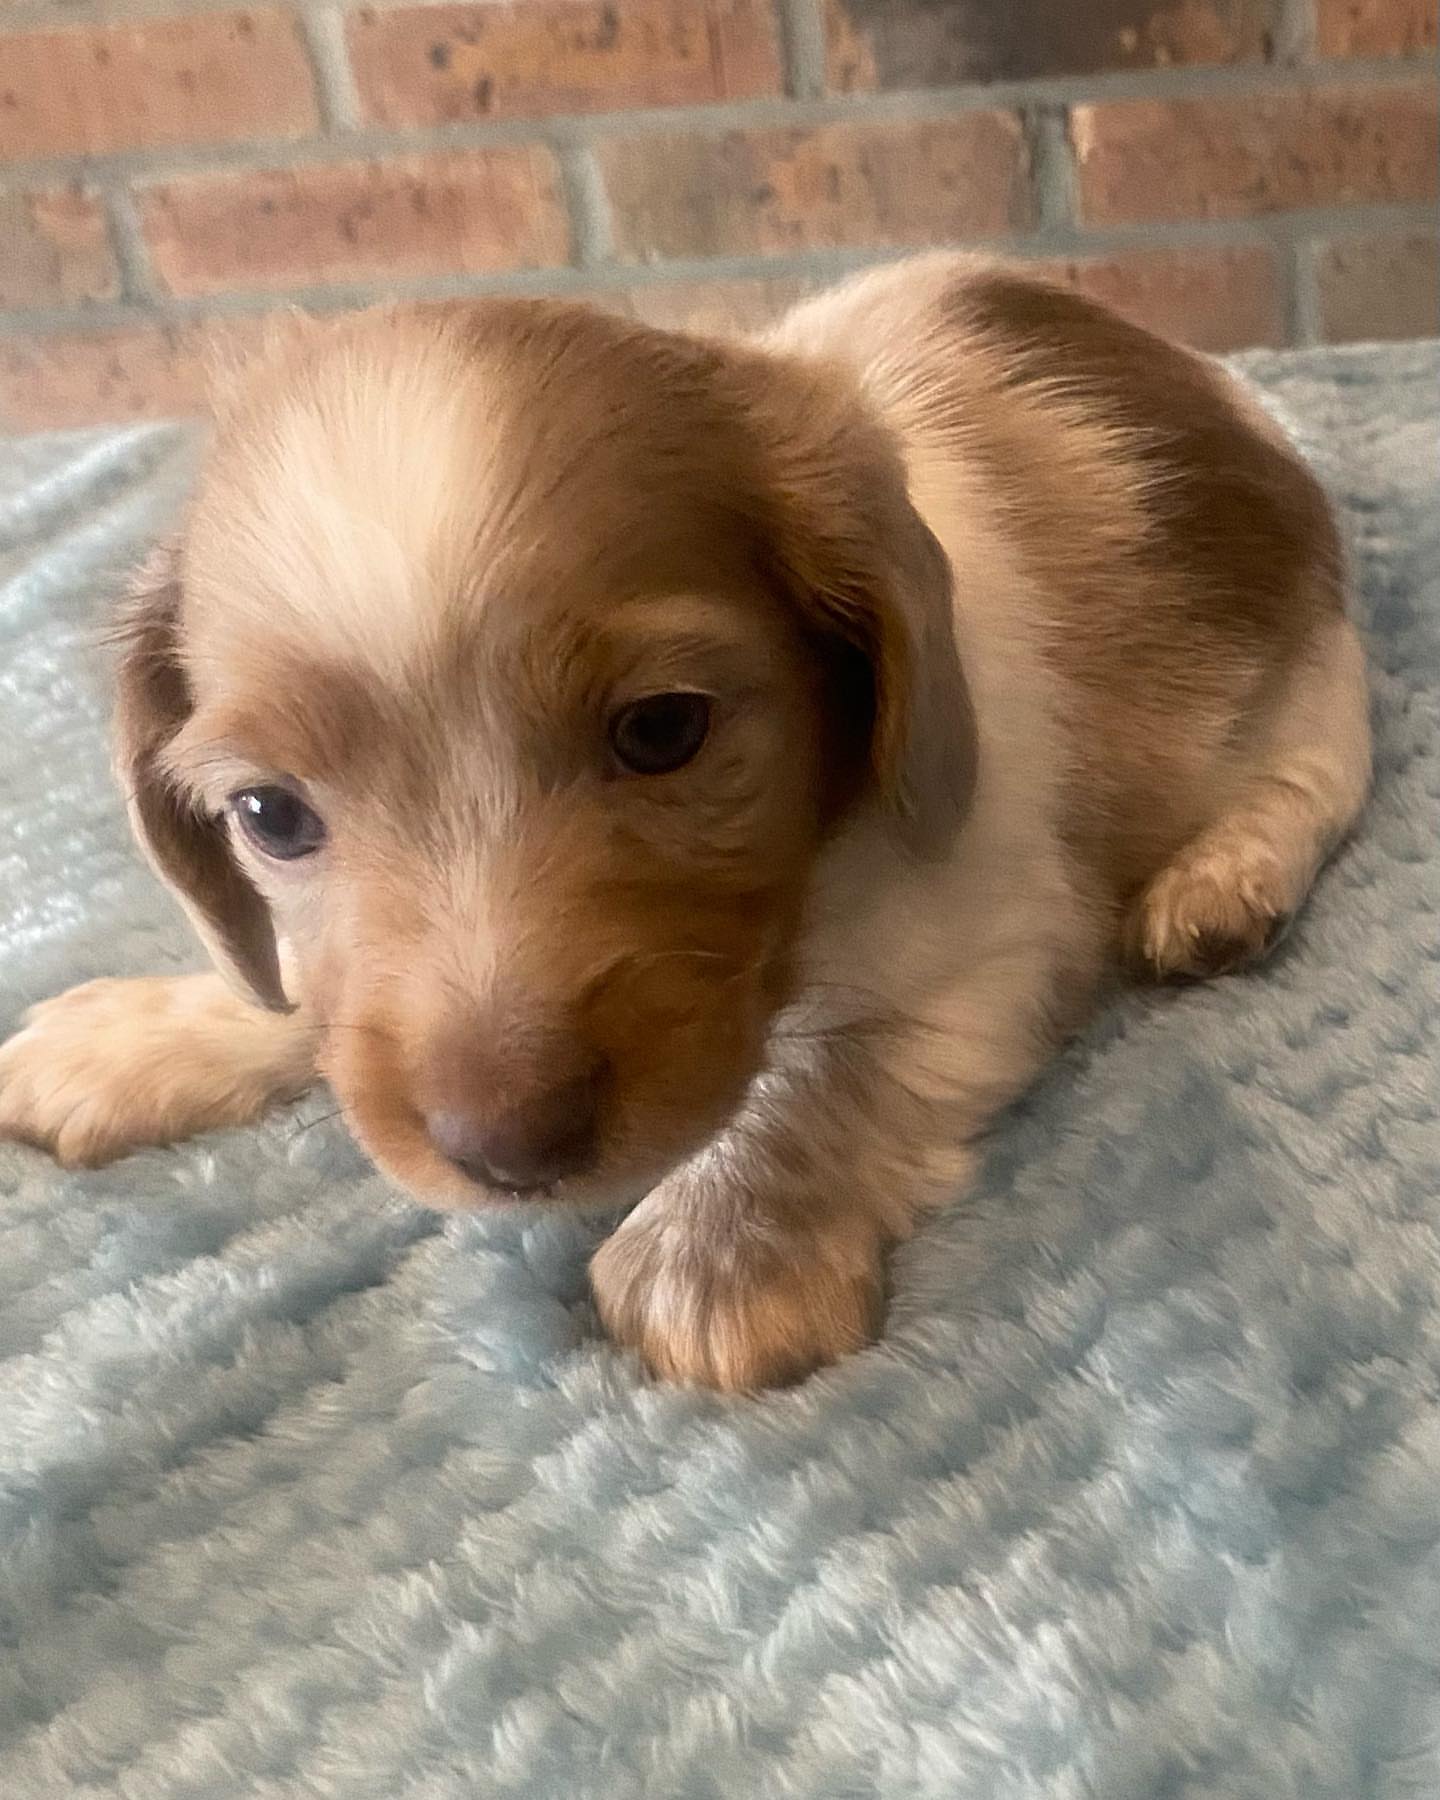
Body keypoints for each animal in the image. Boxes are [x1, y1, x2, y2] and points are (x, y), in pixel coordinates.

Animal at [2, 257, 1375, 1389]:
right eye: (270, 814)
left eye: (664, 730)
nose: (508, 1153)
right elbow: (308, 992)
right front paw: (144, 1036)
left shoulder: (993, 932)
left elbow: (833, 1064)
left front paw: (720, 1247)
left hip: (1303, 672)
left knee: (1321, 771)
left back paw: (1223, 879)